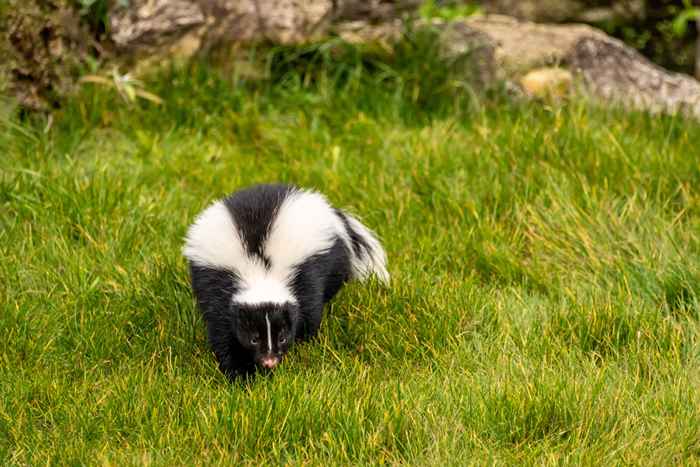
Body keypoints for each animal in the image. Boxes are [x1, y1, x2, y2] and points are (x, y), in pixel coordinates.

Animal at [182, 184, 388, 380]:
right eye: (254, 339)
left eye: (282, 337)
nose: (270, 361)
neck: (262, 272)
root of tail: (328, 211)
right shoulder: (218, 285)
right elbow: (222, 331)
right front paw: (239, 373)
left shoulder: (306, 274)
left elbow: (310, 311)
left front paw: (303, 345)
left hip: (333, 258)